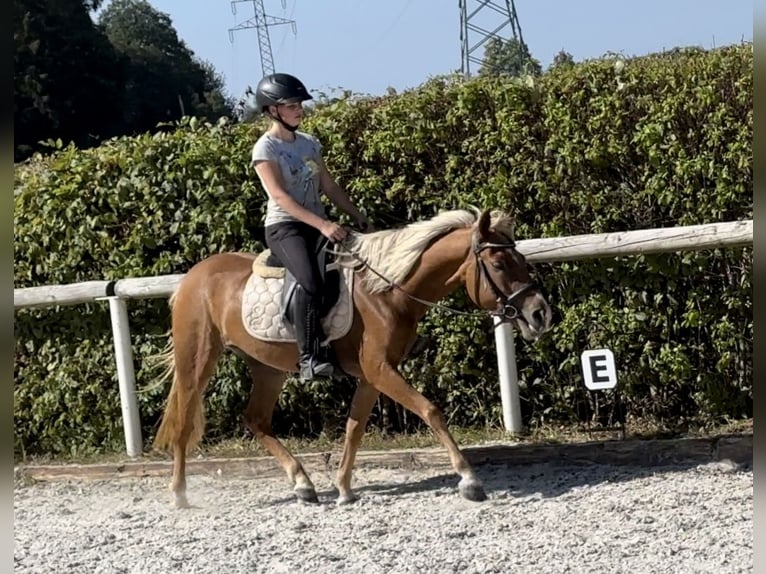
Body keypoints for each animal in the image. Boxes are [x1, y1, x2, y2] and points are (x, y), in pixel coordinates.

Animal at [154, 207, 552, 508]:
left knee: (256, 419)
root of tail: (193, 276)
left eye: (520, 259)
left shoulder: (371, 374)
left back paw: (303, 484)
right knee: (185, 421)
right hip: (197, 359)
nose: (540, 315)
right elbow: (430, 410)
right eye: (499, 264)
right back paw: (179, 494)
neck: (387, 291)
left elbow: (354, 427)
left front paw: (344, 488)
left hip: (267, 367)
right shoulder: (380, 369)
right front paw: (469, 480)